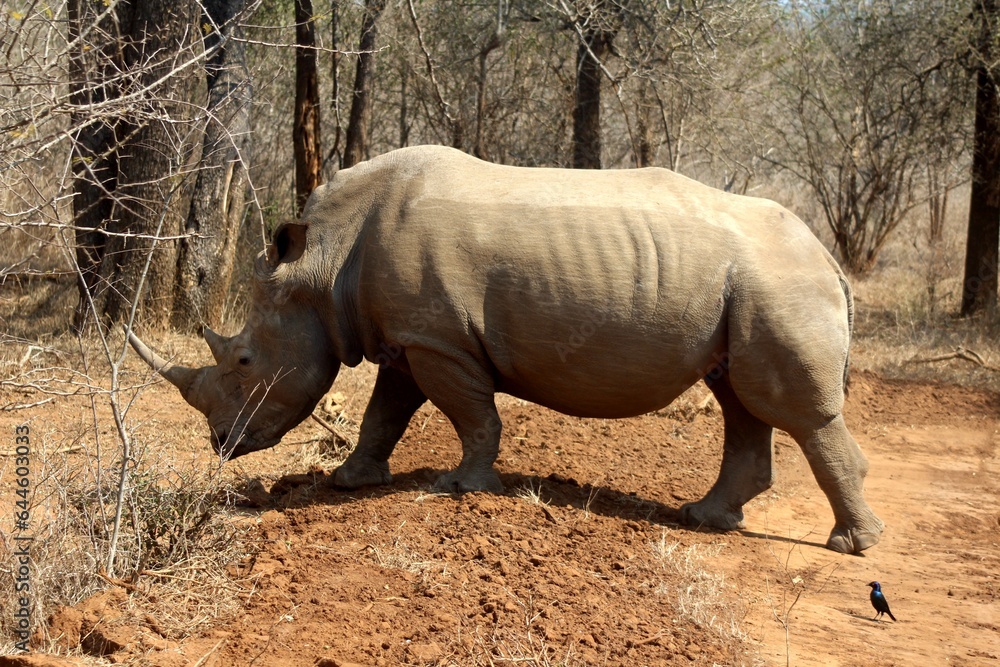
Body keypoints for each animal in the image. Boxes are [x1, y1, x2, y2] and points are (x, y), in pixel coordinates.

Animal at [130, 145, 884, 554]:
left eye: (244, 362)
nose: (220, 443)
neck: (320, 264)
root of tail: (826, 255)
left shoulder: (440, 342)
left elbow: (471, 414)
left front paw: (461, 487)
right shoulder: (411, 337)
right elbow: (384, 413)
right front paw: (349, 481)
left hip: (776, 282)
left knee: (791, 410)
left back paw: (852, 546)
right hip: (750, 288)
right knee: (739, 399)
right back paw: (704, 519)